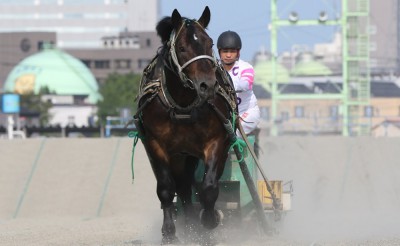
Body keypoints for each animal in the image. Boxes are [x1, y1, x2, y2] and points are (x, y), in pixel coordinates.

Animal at [134, 5, 239, 244]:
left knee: (189, 186)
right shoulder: (155, 144)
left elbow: (208, 187)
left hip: (190, 154)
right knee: (181, 187)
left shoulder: (215, 141)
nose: (207, 85)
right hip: (178, 155)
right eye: (182, 48)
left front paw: (209, 222)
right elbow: (165, 188)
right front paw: (169, 233)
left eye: (210, 43)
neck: (182, 104)